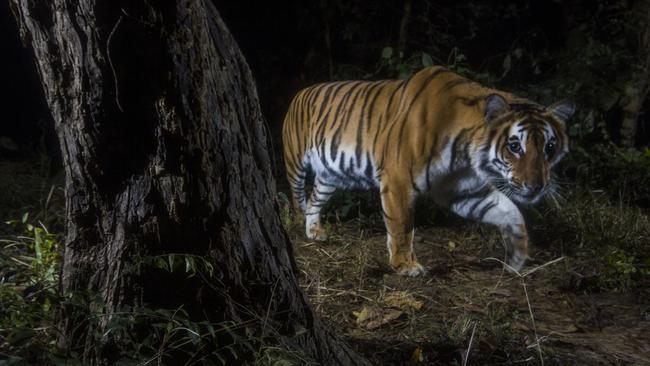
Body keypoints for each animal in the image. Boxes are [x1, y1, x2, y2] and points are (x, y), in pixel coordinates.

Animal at [280, 66, 568, 278]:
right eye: (515, 146)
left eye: (550, 147)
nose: (537, 186)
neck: (466, 150)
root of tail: (300, 91)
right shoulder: (398, 180)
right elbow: (402, 225)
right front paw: (405, 265)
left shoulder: (461, 189)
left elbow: (509, 210)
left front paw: (518, 255)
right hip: (295, 161)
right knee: (297, 196)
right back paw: (297, 225)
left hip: (330, 175)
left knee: (315, 198)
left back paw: (314, 231)